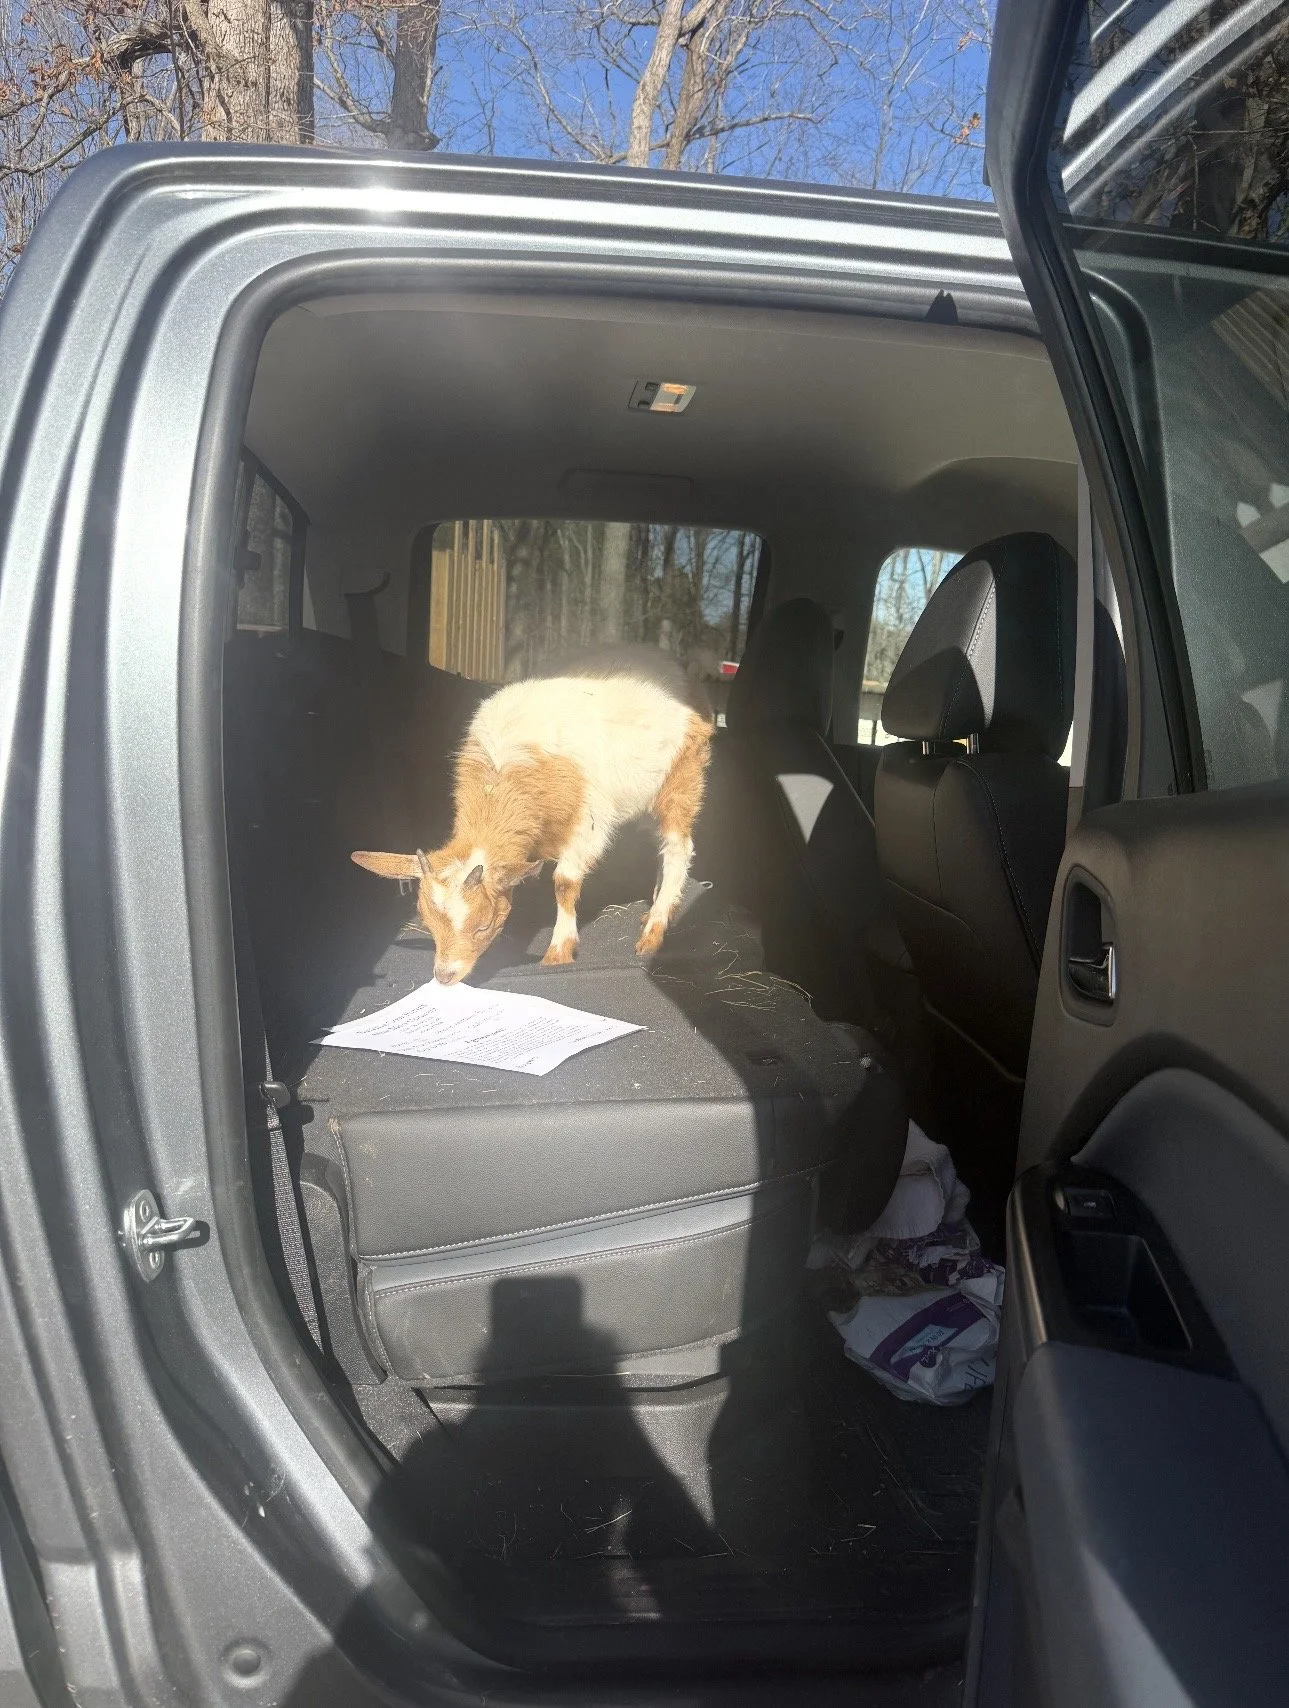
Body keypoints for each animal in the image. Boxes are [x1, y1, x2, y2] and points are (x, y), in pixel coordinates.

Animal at [352, 665, 711, 985]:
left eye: (483, 926)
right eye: (427, 923)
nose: (444, 976)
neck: (502, 773)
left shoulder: (587, 822)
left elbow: (564, 882)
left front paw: (559, 951)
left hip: (681, 781)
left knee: (679, 848)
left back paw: (655, 929)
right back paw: (660, 905)